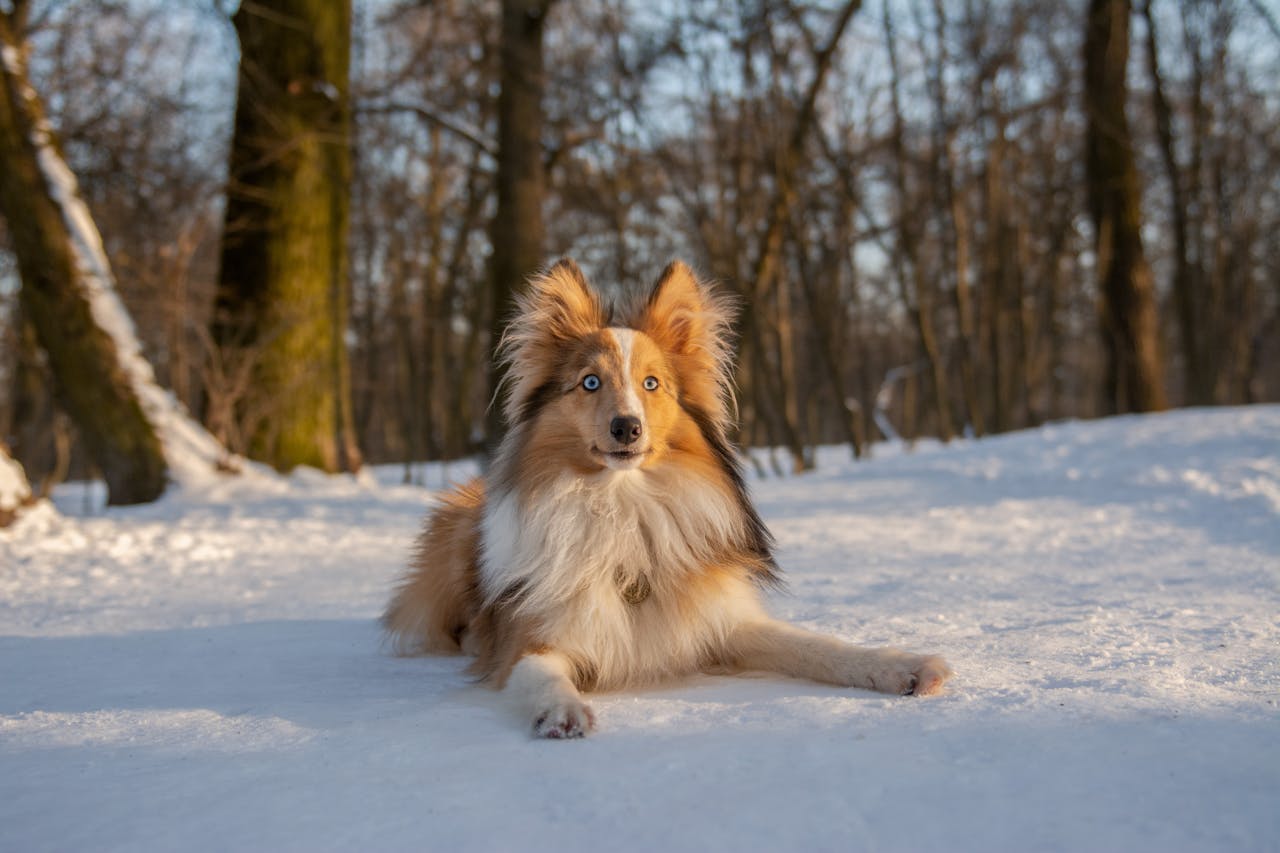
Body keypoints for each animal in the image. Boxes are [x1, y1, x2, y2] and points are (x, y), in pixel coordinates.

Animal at [378, 256, 952, 732]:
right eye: (589, 382)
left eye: (652, 384)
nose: (626, 428)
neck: (622, 505)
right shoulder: (531, 640)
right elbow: (539, 675)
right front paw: (561, 710)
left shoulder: (722, 620)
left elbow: (817, 646)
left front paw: (900, 665)